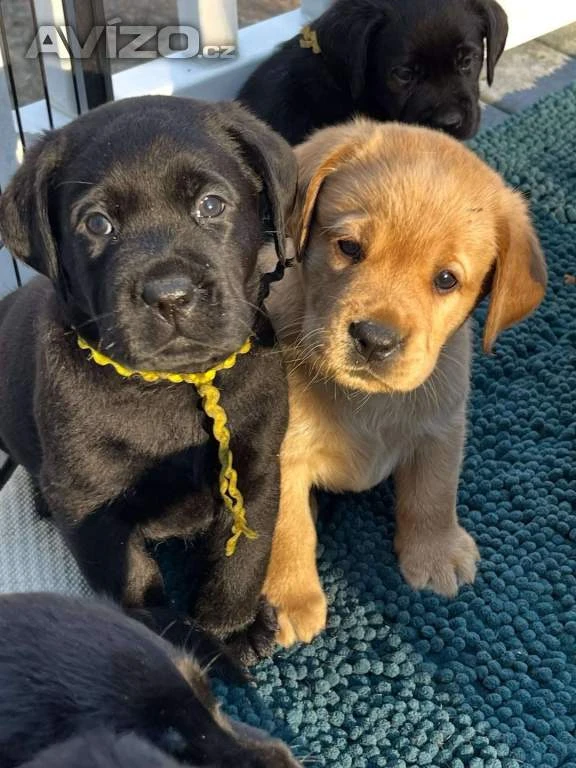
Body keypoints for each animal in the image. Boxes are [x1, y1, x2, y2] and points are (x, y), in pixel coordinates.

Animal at [0, 96, 297, 665]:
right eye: (97, 224)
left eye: (211, 206)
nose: (170, 295)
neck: (172, 387)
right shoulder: (90, 504)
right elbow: (133, 577)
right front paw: (173, 641)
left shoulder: (256, 466)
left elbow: (244, 554)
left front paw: (230, 626)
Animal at [260, 119, 547, 646]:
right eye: (349, 248)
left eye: (447, 279)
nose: (375, 340)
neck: (365, 401)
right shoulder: (281, 452)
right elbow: (287, 527)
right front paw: (289, 598)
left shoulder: (443, 427)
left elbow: (433, 494)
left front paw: (435, 553)